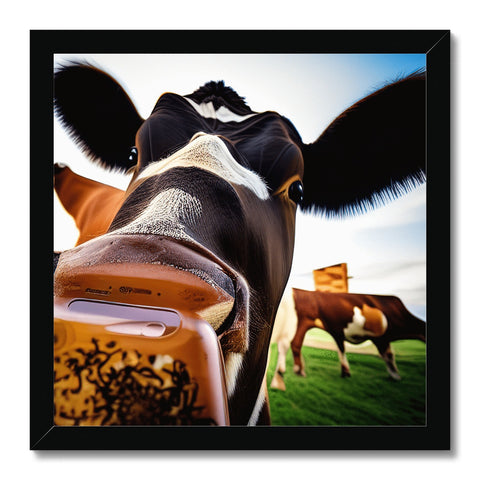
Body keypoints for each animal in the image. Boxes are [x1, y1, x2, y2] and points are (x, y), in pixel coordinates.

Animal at [272, 284, 426, 390]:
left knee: (293, 345)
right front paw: (395, 376)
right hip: (300, 323)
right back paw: (294, 372)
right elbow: (388, 354)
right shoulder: (381, 337)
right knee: (293, 344)